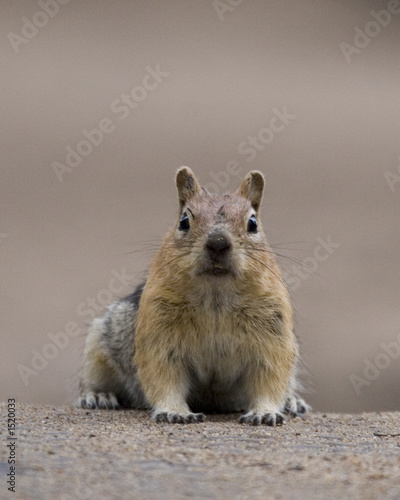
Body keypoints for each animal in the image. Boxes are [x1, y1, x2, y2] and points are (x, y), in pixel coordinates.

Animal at [78, 168, 310, 426]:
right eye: (184, 221)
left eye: (253, 223)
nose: (218, 243)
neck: (216, 294)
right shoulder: (160, 335)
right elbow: (164, 378)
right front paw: (175, 412)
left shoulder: (272, 337)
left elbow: (270, 379)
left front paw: (265, 412)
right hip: (97, 349)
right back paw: (98, 396)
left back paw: (292, 402)